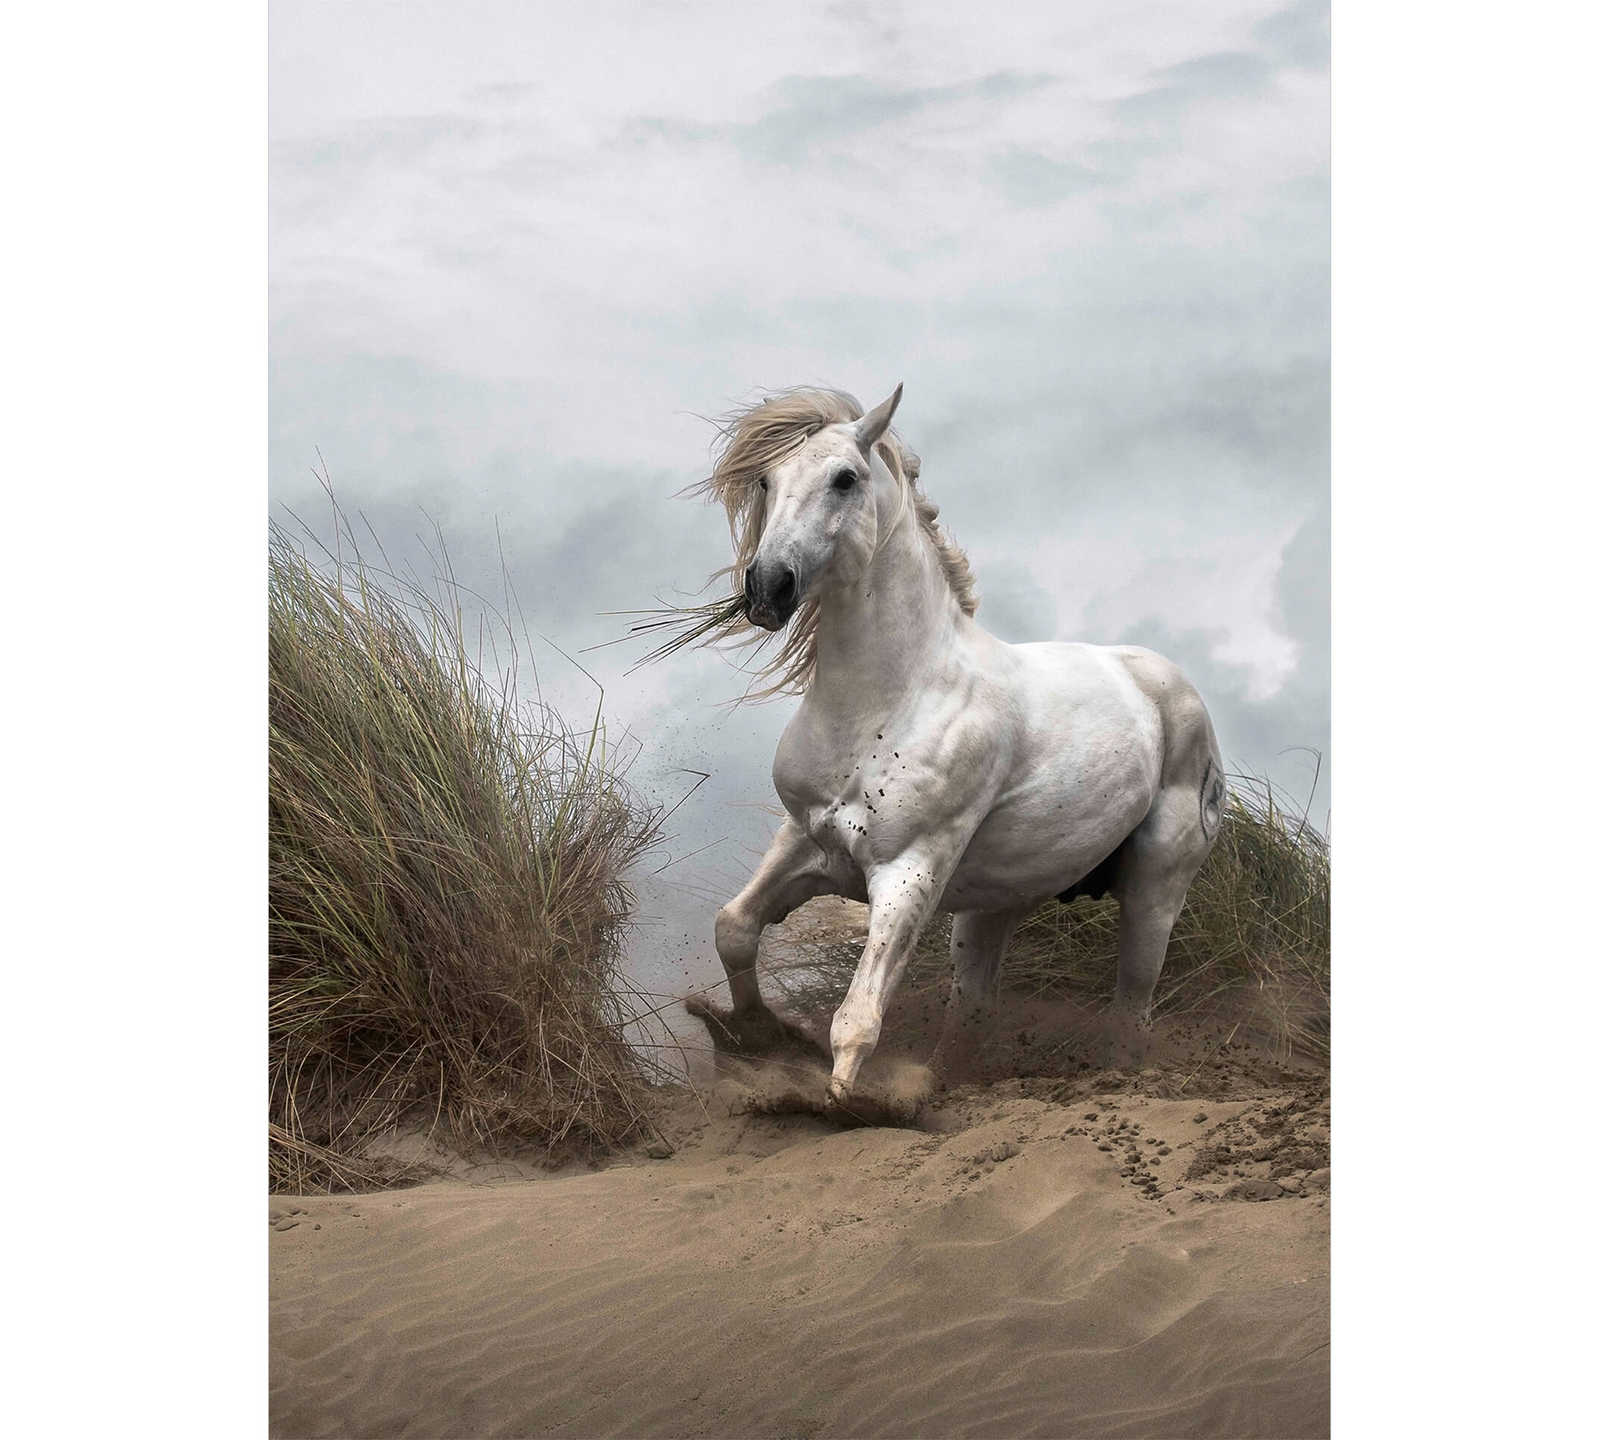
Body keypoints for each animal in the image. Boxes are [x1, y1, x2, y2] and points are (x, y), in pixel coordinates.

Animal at [679, 384, 1226, 1117]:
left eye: (845, 478)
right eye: (767, 480)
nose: (768, 587)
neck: (892, 694)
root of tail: (1172, 687)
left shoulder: (908, 871)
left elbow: (858, 1017)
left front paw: (839, 1104)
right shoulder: (805, 841)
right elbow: (734, 928)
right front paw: (757, 1041)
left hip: (1155, 894)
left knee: (1130, 1010)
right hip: (994, 907)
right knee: (971, 1010)